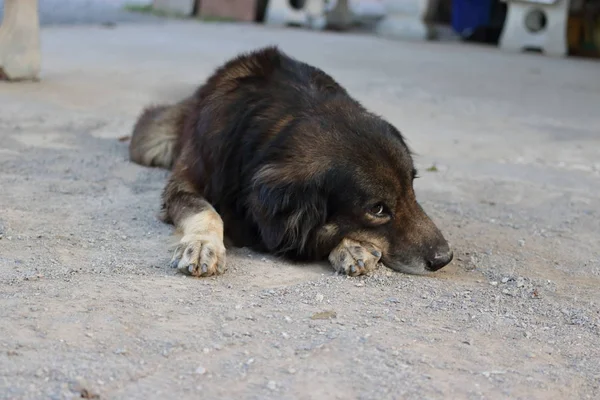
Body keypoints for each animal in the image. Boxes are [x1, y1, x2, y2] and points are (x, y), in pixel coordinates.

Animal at [129, 47, 452, 276]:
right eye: (377, 209)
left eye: (412, 187)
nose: (444, 258)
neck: (283, 119)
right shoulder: (185, 183)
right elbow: (206, 211)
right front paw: (202, 244)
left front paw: (351, 246)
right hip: (152, 142)